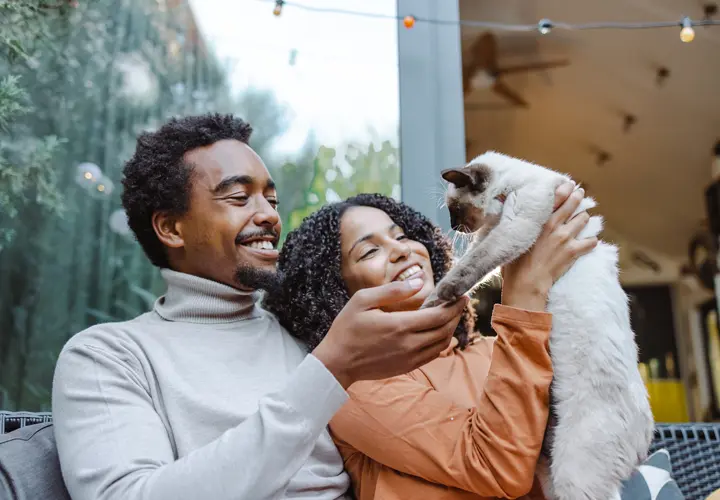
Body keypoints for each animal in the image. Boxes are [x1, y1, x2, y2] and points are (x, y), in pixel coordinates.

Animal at [424, 151, 656, 500]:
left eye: (455, 210)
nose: (453, 227)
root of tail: (646, 438)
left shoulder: (513, 227)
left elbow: (470, 267)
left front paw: (441, 295)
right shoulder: (491, 236)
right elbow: (471, 270)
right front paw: (434, 302)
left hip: (574, 475)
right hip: (549, 469)